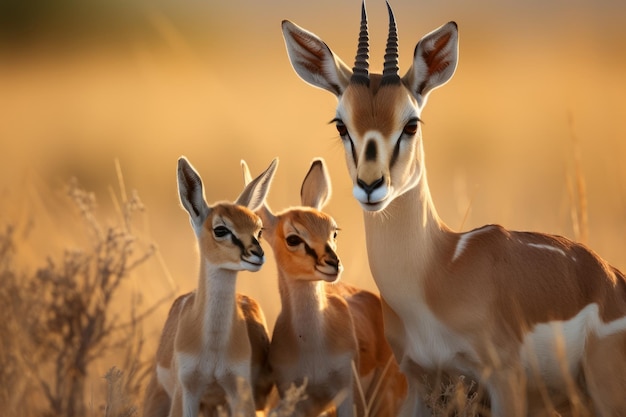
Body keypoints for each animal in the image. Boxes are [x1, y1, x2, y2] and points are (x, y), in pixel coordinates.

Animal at [145, 157, 276, 416]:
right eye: (220, 229)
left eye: (259, 229)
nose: (257, 255)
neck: (213, 346)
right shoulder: (186, 392)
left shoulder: (239, 393)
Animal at [239, 158, 404, 416]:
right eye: (293, 238)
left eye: (333, 232)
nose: (333, 264)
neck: (312, 345)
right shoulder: (297, 399)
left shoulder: (347, 395)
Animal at [282, 3, 624, 416]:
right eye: (341, 124)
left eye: (411, 123)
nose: (370, 185)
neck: (437, 268)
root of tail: (611, 279)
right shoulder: (417, 379)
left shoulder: (505, 379)